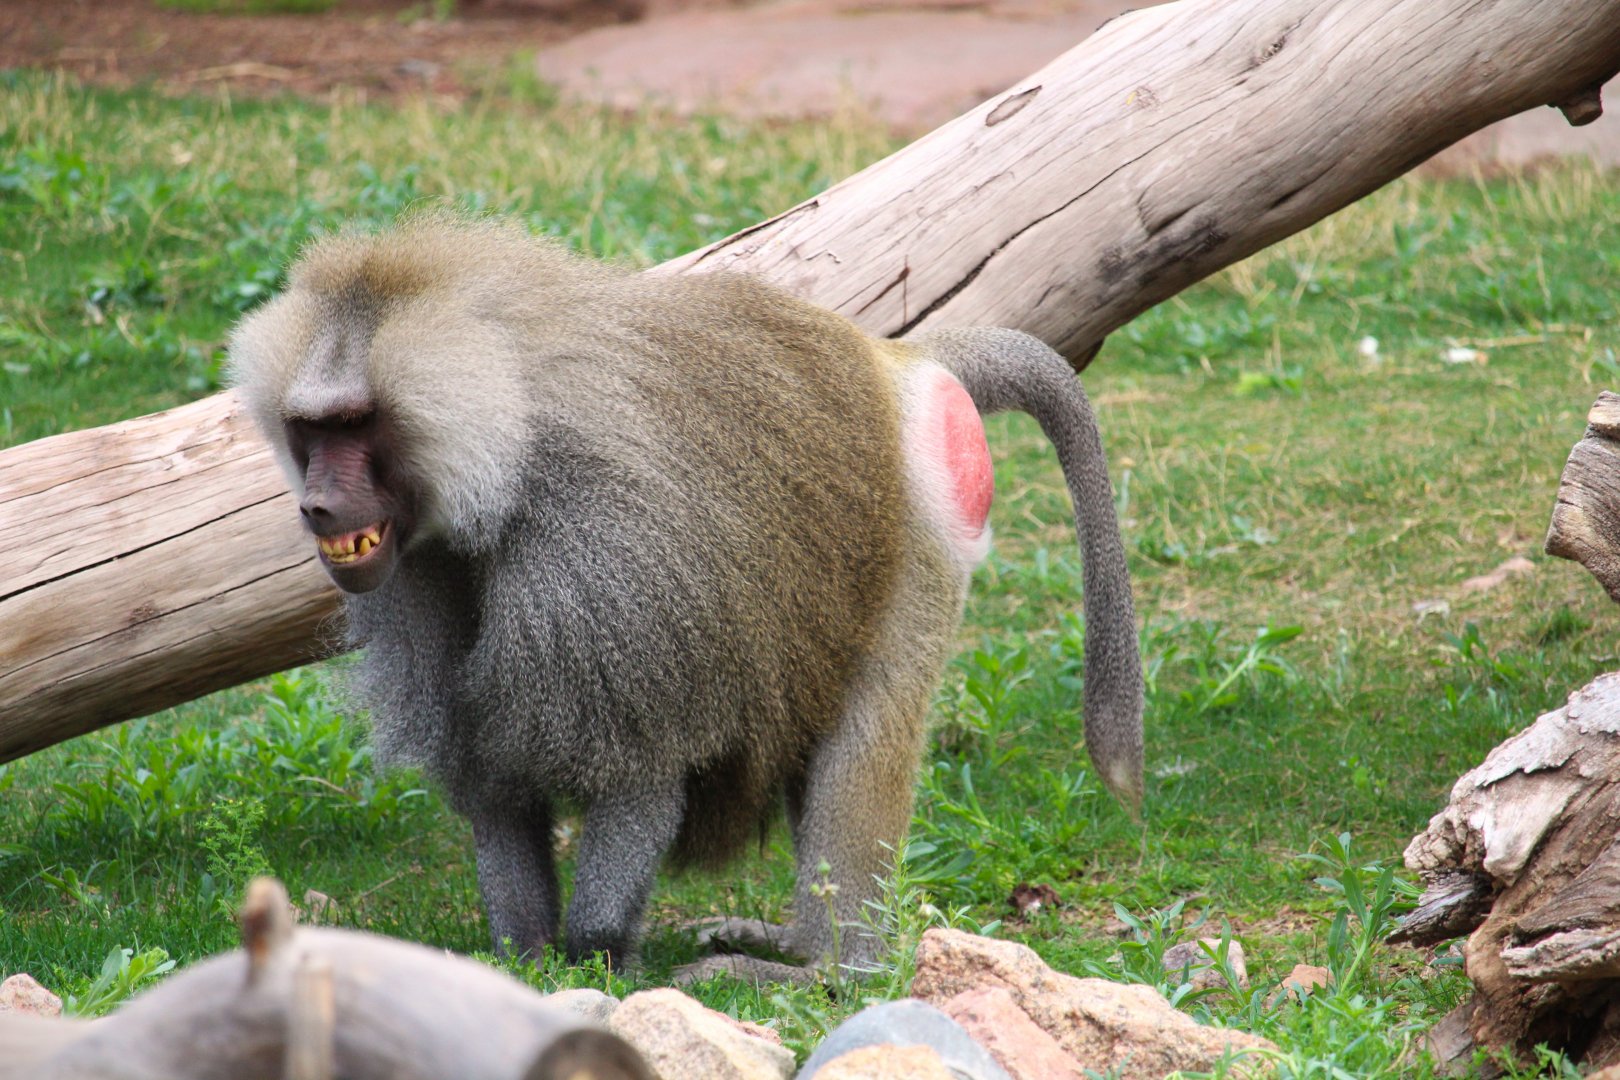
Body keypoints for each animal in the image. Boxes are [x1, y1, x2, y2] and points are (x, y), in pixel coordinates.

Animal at [227, 212, 1143, 983]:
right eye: (311, 431)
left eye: (357, 426)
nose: (317, 507)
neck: (506, 447)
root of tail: (893, 359)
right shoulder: (419, 573)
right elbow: (495, 788)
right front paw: (521, 963)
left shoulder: (608, 559)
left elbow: (641, 774)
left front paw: (597, 962)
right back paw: (789, 944)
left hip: (921, 528)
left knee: (865, 729)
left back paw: (826, 971)